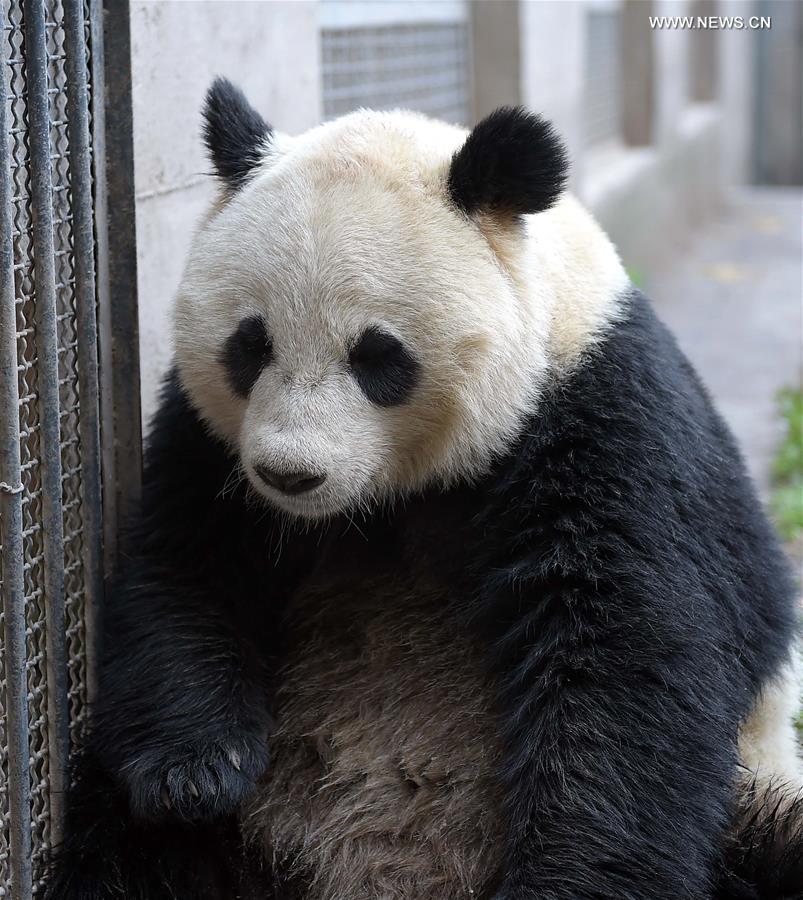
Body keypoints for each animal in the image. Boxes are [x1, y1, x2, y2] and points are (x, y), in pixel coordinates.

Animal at [45, 79, 803, 900]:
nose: (289, 474)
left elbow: (627, 661)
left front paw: (563, 881)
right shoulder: (213, 447)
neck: (391, 495)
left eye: (378, 355)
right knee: (117, 843)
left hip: (751, 802)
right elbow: (185, 571)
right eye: (250, 344)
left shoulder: (603, 425)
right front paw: (194, 774)